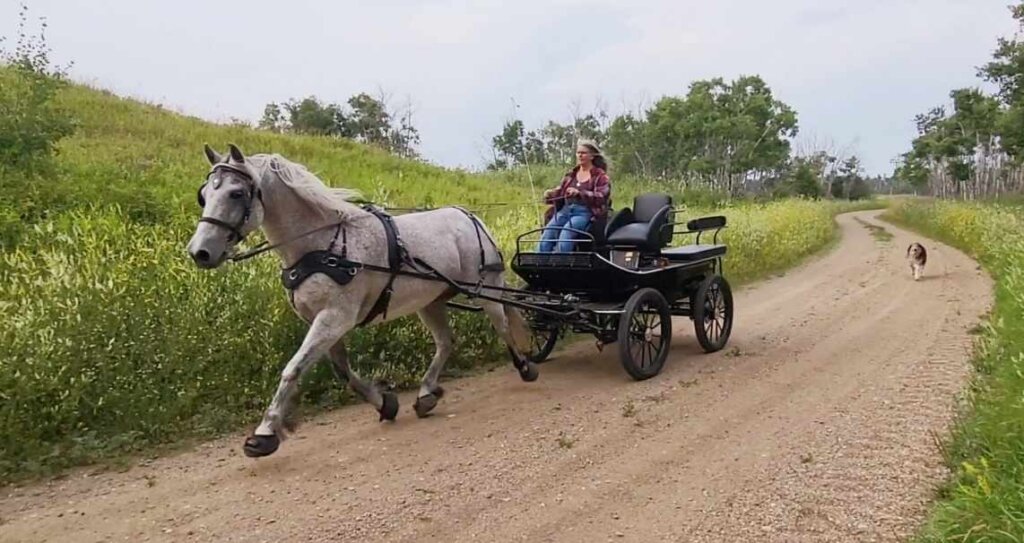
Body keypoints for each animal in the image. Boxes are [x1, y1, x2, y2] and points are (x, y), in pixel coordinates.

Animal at [186, 144, 538, 457]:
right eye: (204, 195)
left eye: (236, 193)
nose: (199, 252)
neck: (322, 246)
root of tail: (468, 216)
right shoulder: (324, 320)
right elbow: (342, 370)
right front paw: (385, 403)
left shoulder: (334, 317)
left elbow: (293, 368)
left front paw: (265, 432)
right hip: (430, 301)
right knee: (446, 342)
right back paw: (427, 392)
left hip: (487, 287)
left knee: (503, 325)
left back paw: (524, 366)